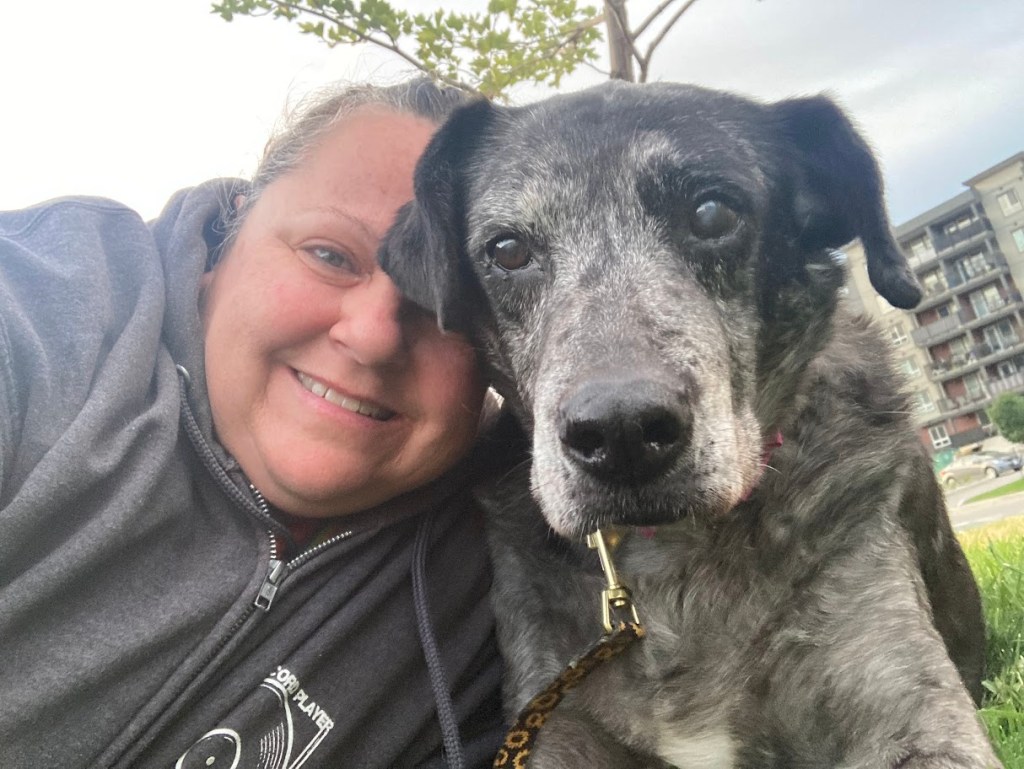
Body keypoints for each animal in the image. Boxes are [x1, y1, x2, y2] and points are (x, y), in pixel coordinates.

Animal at [381, 82, 998, 768]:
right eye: (506, 250)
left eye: (712, 214)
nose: (621, 432)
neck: (672, 556)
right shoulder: (551, 722)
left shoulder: (904, 704)